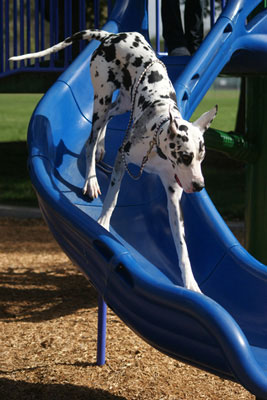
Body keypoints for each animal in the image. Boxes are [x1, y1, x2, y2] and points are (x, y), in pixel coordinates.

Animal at [11, 28, 220, 290]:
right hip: (101, 99)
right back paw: (91, 177)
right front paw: (102, 223)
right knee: (91, 140)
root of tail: (111, 35)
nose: (199, 185)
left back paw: (101, 146)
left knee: (110, 117)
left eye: (201, 158)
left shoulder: (173, 195)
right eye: (185, 156)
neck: (157, 141)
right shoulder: (123, 157)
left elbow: (182, 247)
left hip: (124, 103)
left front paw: (190, 283)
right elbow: (113, 198)